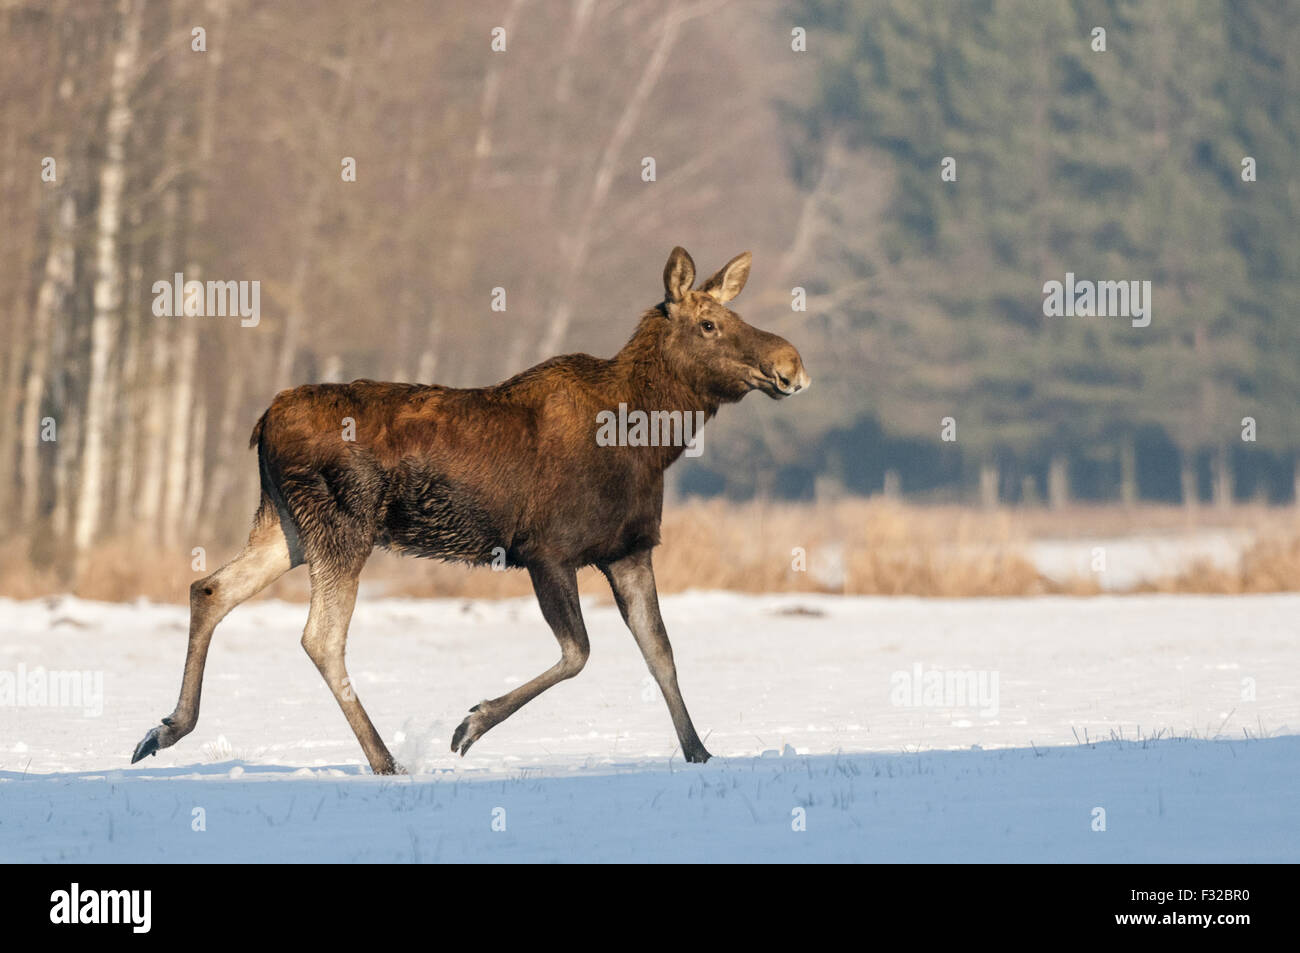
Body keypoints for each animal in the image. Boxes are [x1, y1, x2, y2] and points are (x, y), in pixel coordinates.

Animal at [131, 247, 800, 774]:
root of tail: (262, 422)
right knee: (320, 636)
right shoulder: (546, 550)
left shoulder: (629, 551)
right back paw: (385, 760)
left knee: (210, 588)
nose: (790, 362)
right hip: (343, 526)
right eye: (709, 323)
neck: (652, 442)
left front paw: (701, 753)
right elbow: (578, 653)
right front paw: (470, 724)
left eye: (734, 315)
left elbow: (661, 655)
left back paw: (165, 728)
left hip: (288, 528)